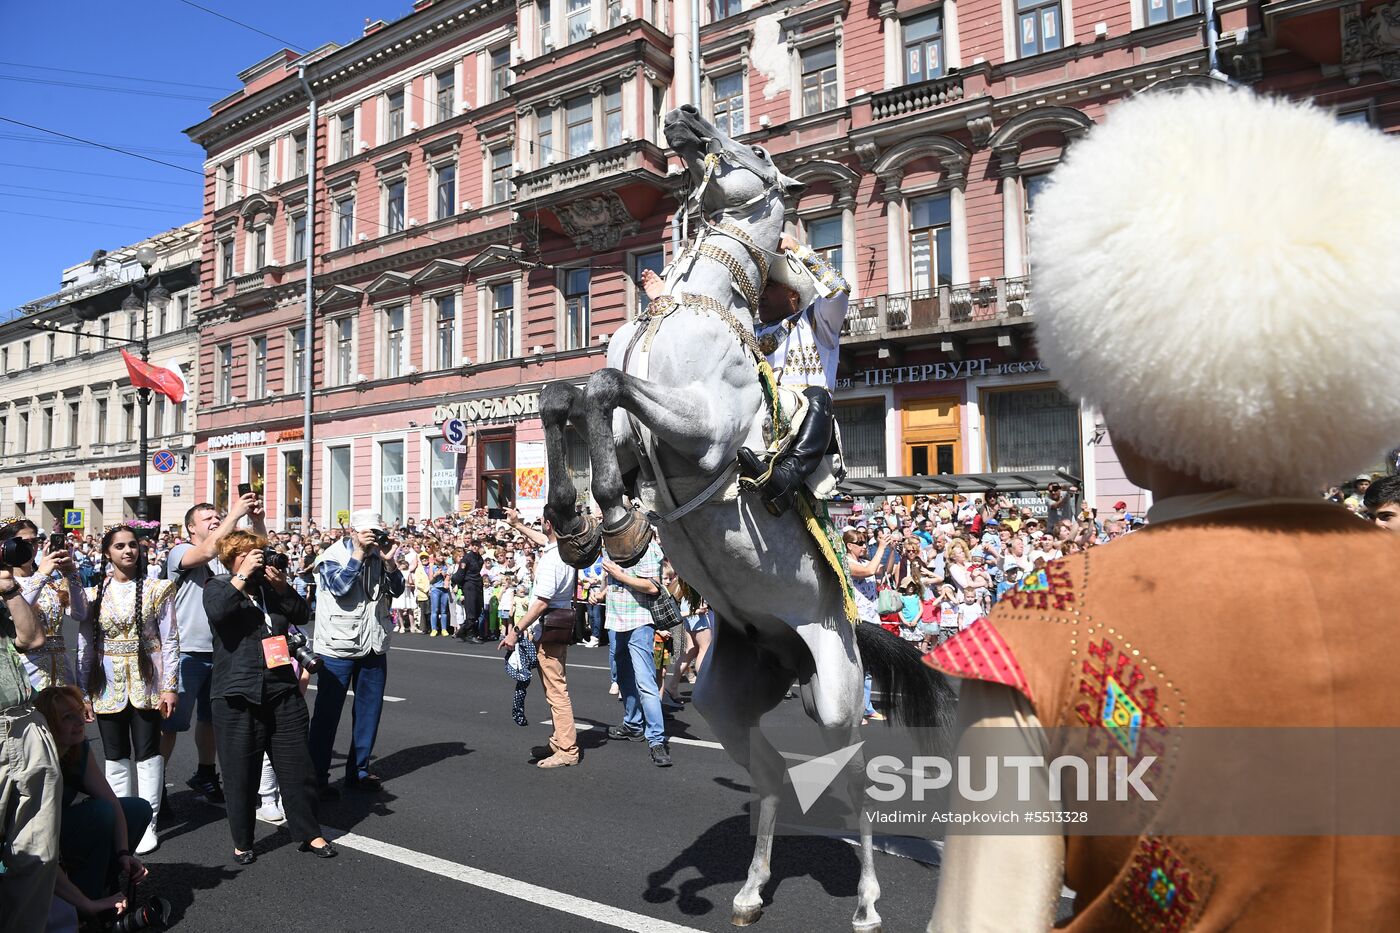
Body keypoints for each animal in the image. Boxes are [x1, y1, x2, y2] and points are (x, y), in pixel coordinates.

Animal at [540, 103, 957, 930]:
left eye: (759, 153)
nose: (685, 115)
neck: (686, 310)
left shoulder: (702, 433)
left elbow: (604, 385)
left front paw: (616, 520)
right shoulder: (635, 437)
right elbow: (566, 395)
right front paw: (573, 519)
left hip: (836, 697)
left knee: (855, 780)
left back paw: (867, 900)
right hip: (726, 700)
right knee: (767, 779)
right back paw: (748, 889)